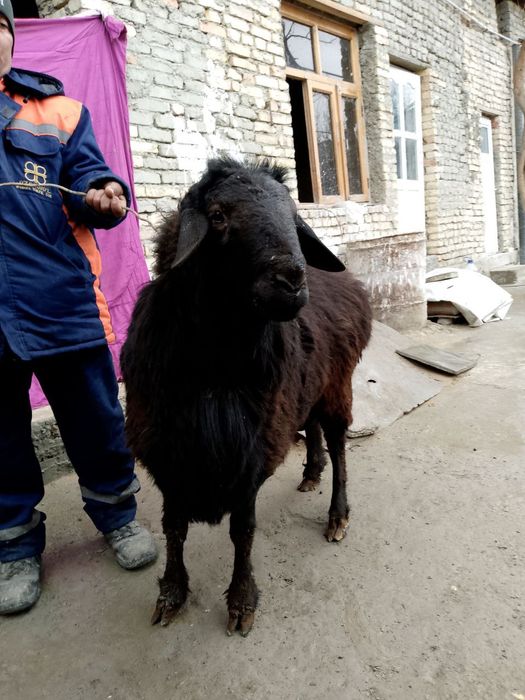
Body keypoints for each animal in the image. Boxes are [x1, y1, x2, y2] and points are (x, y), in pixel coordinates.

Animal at [121, 157, 372, 636]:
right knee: (313, 426)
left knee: (339, 447)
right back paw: (311, 472)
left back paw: (338, 515)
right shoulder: (166, 449)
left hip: (337, 385)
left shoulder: (250, 451)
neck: (214, 369)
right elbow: (173, 526)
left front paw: (241, 601)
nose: (291, 279)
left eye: (293, 217)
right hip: (306, 386)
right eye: (218, 216)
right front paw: (172, 593)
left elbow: (243, 530)